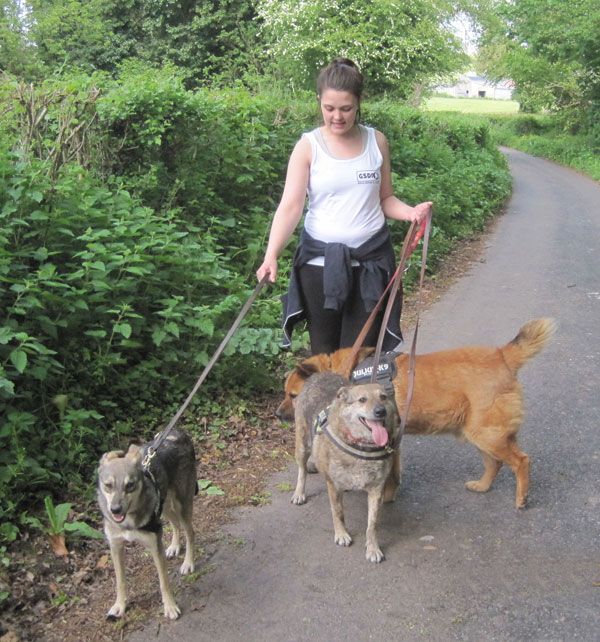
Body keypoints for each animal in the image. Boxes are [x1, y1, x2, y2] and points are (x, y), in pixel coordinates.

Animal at [98, 428, 197, 616]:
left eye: (130, 485)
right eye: (108, 485)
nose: (115, 510)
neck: (128, 520)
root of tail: (177, 432)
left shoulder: (155, 546)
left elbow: (164, 582)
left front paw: (170, 606)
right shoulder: (116, 547)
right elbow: (120, 582)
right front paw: (120, 605)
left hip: (182, 505)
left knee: (190, 533)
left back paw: (188, 563)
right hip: (164, 506)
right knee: (175, 524)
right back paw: (174, 546)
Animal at [278, 318, 556, 508]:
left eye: (293, 395)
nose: (279, 416)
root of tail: (502, 356)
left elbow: (389, 479)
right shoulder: (391, 442)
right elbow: (395, 474)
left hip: (488, 435)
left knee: (521, 461)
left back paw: (521, 497)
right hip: (480, 434)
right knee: (495, 463)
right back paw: (482, 486)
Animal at [292, 370, 400, 560]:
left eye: (383, 397)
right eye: (362, 399)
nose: (381, 411)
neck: (362, 446)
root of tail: (319, 374)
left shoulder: (376, 490)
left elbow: (372, 524)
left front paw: (373, 548)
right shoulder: (333, 485)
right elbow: (338, 512)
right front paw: (341, 534)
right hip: (302, 445)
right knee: (302, 470)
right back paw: (299, 493)